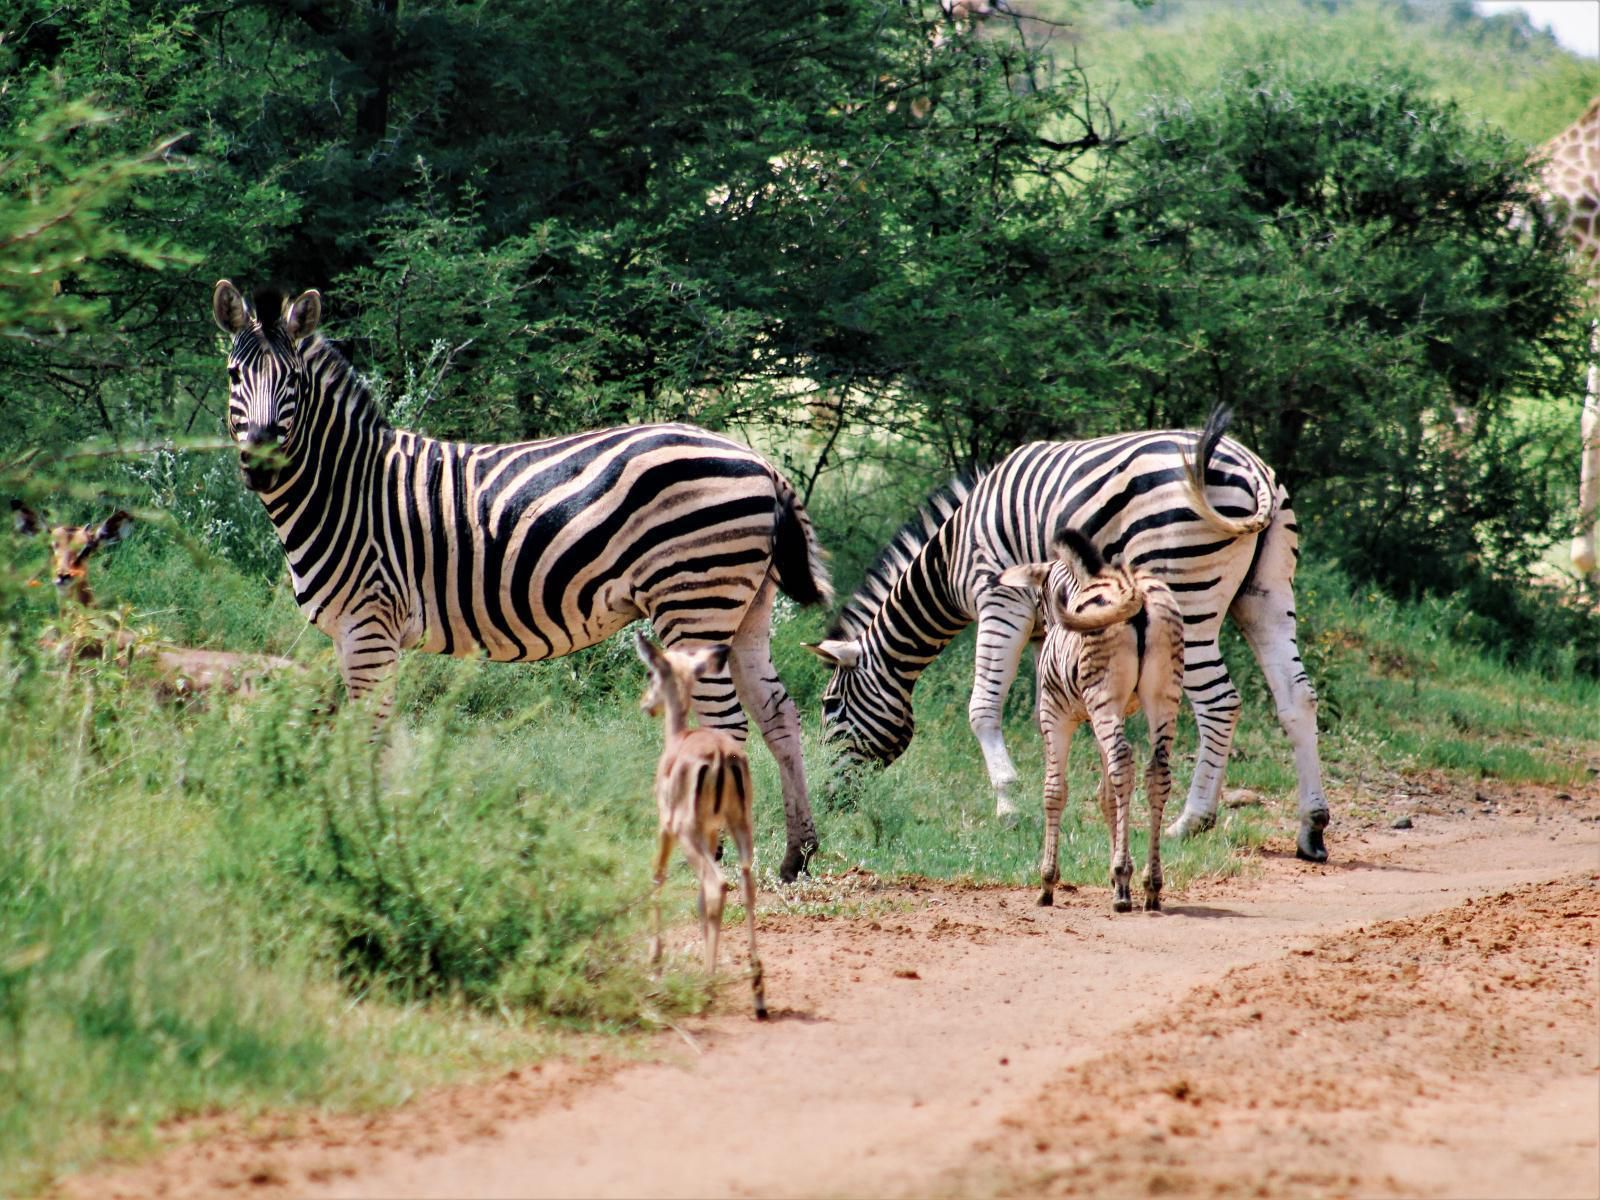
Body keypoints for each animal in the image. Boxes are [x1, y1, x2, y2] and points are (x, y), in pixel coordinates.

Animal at [211, 281, 832, 883]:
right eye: (234, 376)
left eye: (292, 381)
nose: (260, 462)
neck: (347, 487)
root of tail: (761, 462)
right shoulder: (350, 634)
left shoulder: (369, 624)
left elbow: (369, 736)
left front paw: (369, 826)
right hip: (745, 608)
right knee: (778, 713)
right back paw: (796, 854)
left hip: (695, 602)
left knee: (728, 725)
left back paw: (712, 851)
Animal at [806, 412, 1331, 864]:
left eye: (830, 705)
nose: (828, 799)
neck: (950, 556)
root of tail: (1252, 467)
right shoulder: (1048, 623)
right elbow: (1058, 707)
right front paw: (1070, 799)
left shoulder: (1001, 599)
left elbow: (982, 708)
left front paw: (1009, 807)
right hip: (1264, 594)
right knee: (1297, 698)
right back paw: (1312, 828)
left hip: (1187, 595)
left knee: (1220, 702)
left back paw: (1191, 822)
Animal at [998, 531, 1190, 915]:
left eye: (1038, 596)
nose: (1038, 634)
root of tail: (1136, 595)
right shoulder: (1117, 712)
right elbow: (1107, 796)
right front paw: (1120, 874)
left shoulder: (1054, 713)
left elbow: (1054, 791)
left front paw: (1048, 882)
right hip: (1164, 696)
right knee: (1154, 772)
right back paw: (1151, 886)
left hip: (1104, 697)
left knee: (1123, 761)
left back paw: (1124, 886)